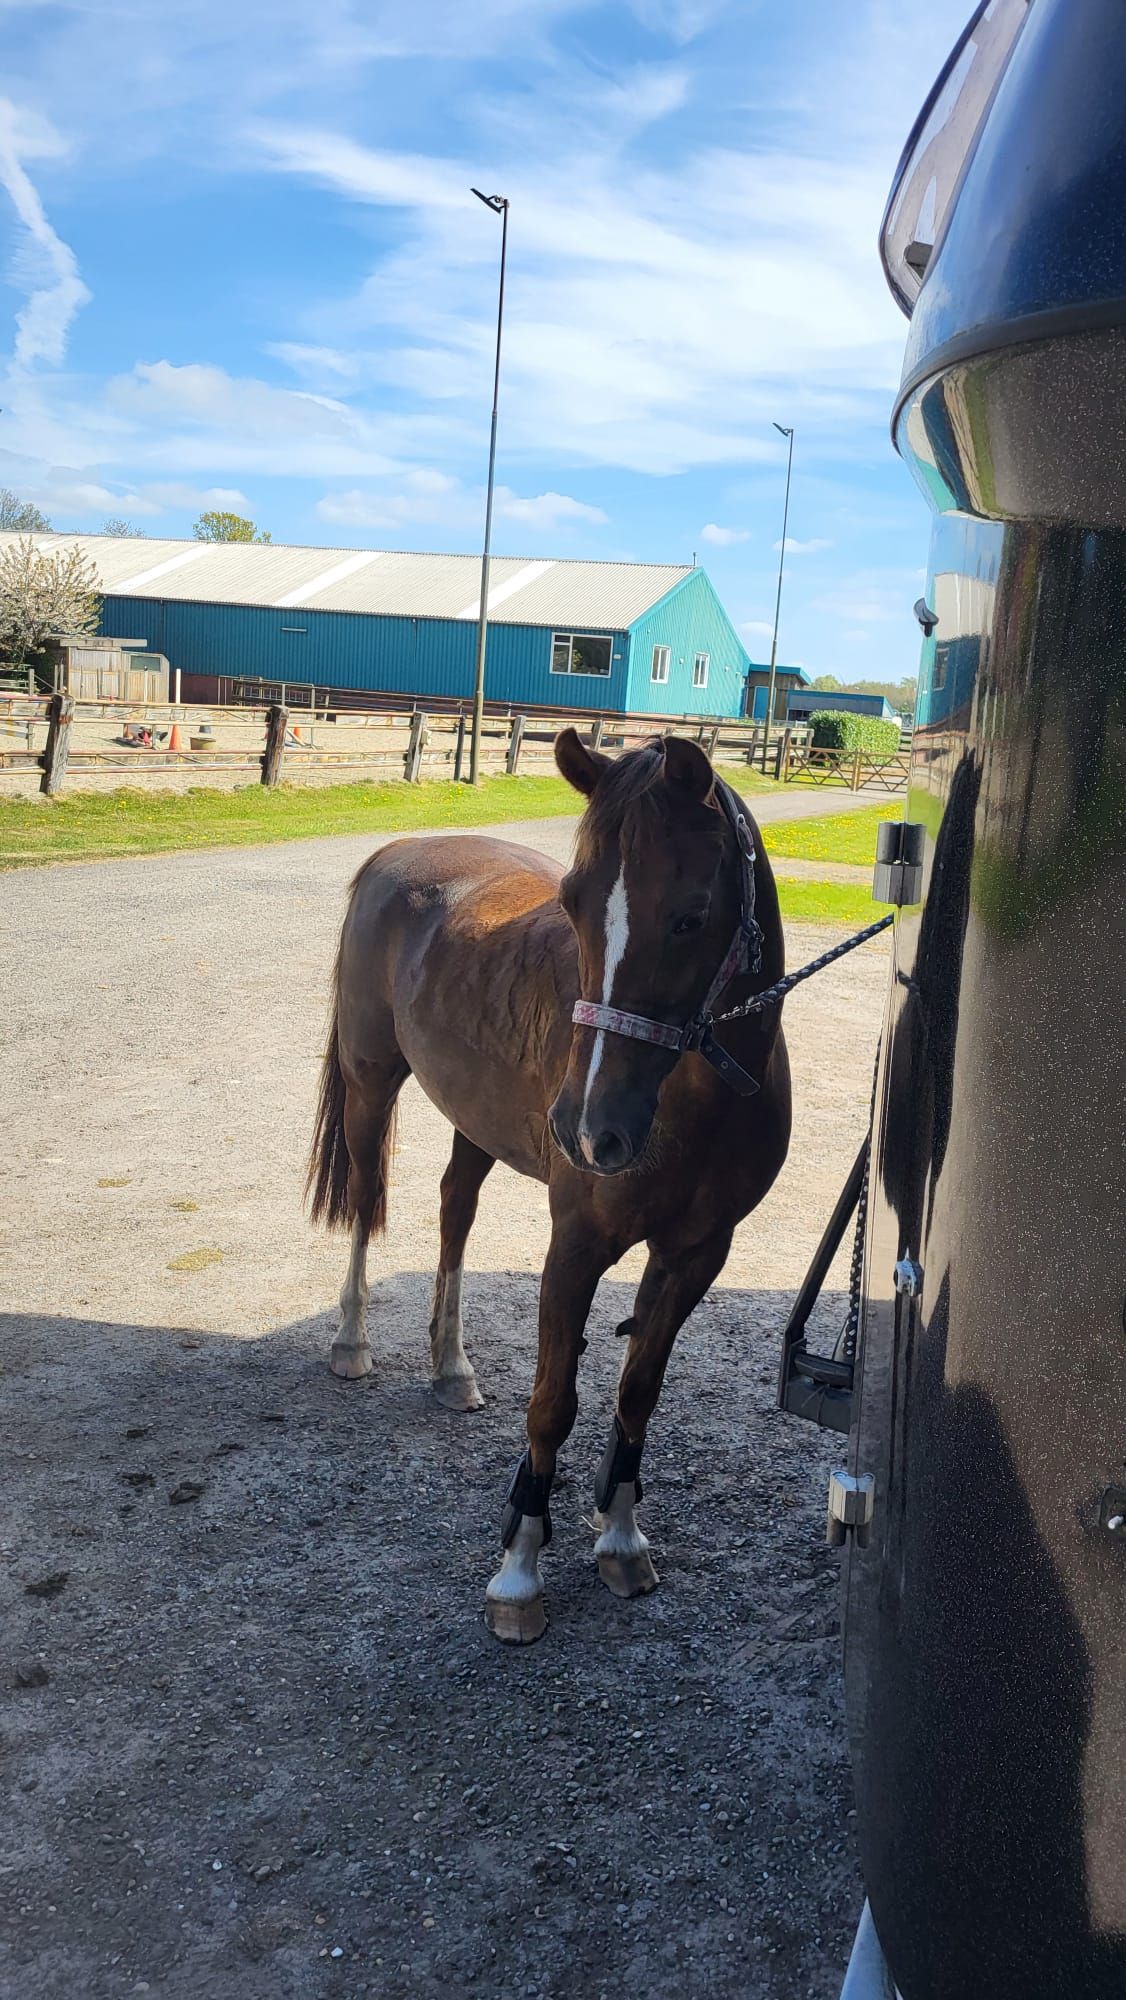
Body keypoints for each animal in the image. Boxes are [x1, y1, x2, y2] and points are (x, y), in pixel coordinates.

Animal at [307, 728, 792, 1642]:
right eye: (572, 904)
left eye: (690, 915)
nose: (587, 1130)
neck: (691, 1100)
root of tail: (397, 854)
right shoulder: (575, 1250)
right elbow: (552, 1404)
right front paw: (519, 1570)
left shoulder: (696, 1254)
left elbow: (638, 1390)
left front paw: (622, 1537)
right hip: (369, 1081)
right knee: (365, 1200)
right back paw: (351, 1341)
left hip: (473, 1121)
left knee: (453, 1212)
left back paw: (451, 1365)